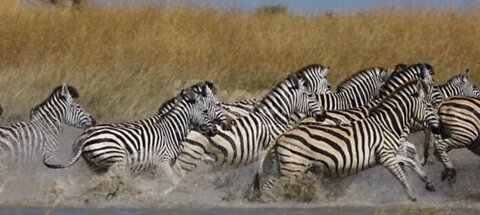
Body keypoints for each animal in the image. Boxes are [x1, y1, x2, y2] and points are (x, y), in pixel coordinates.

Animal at [42, 81, 227, 192]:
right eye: (206, 110)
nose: (217, 129)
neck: (172, 129)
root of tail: (85, 136)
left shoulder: (161, 165)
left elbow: (175, 179)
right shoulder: (162, 161)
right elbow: (174, 181)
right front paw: (162, 194)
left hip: (95, 165)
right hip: (117, 160)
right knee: (107, 179)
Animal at [171, 72, 328, 188]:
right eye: (310, 95)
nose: (323, 114)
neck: (271, 118)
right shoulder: (268, 150)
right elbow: (264, 172)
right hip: (189, 156)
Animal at [256, 80, 440, 202]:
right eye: (429, 106)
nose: (439, 128)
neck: (388, 123)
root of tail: (282, 135)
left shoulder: (388, 155)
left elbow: (410, 162)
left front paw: (427, 182)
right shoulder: (387, 157)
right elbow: (401, 175)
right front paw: (413, 196)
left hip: (289, 167)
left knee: (269, 185)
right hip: (293, 169)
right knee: (269, 186)